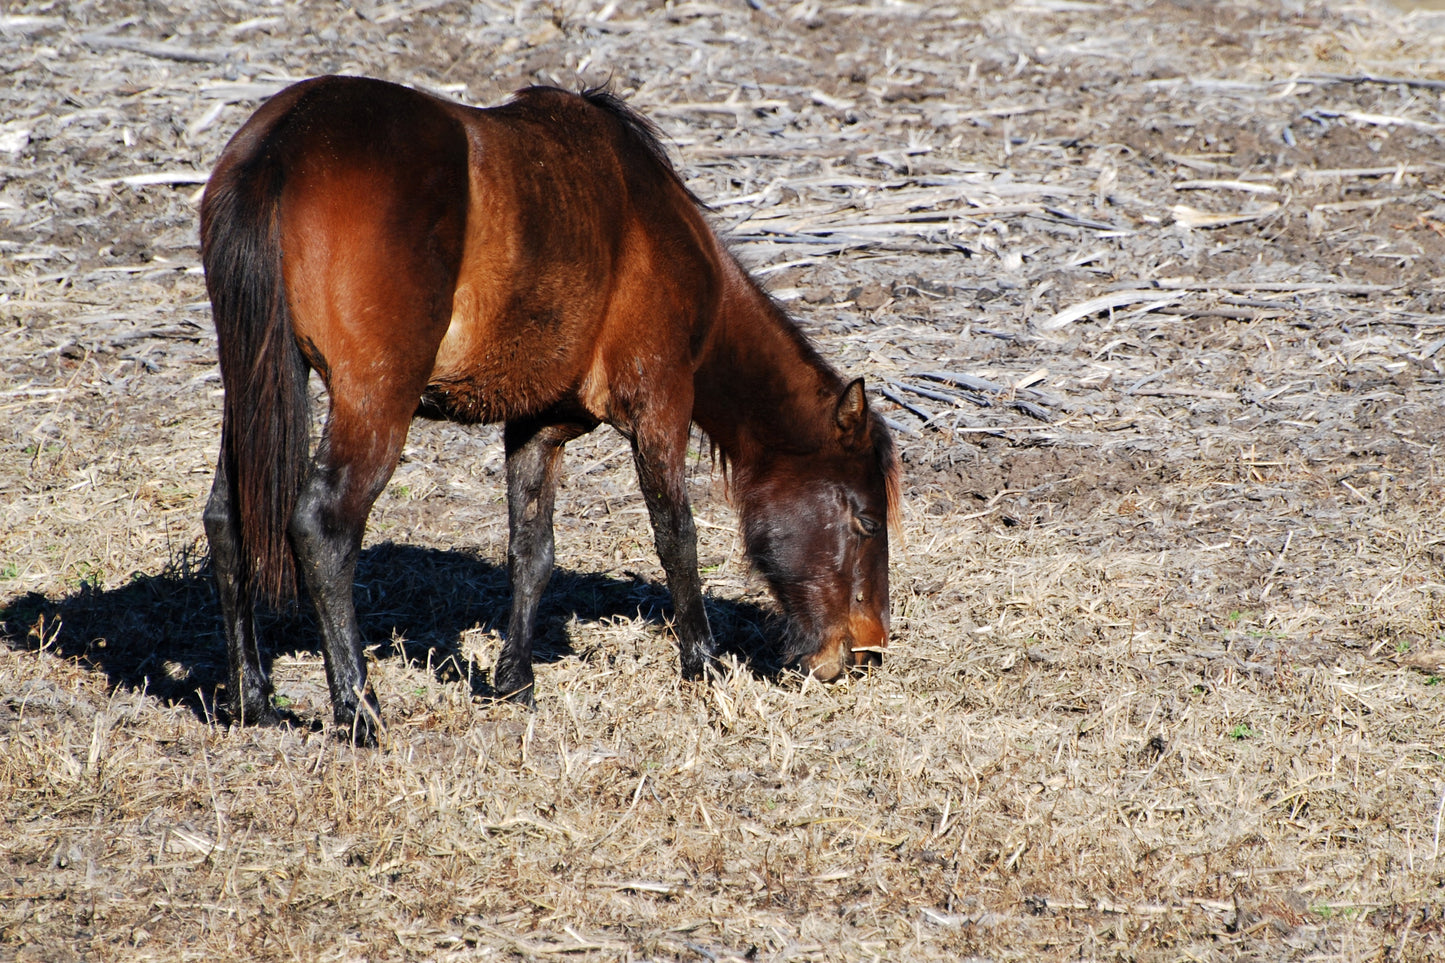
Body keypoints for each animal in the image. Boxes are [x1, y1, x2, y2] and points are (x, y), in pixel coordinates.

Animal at [197, 75, 895, 740]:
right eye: (865, 520)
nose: (866, 653)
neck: (651, 224)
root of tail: (282, 144)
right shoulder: (661, 401)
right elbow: (678, 535)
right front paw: (703, 663)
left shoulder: (537, 426)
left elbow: (531, 552)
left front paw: (515, 681)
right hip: (374, 399)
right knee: (323, 526)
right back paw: (359, 711)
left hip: (255, 385)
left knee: (229, 519)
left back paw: (252, 699)